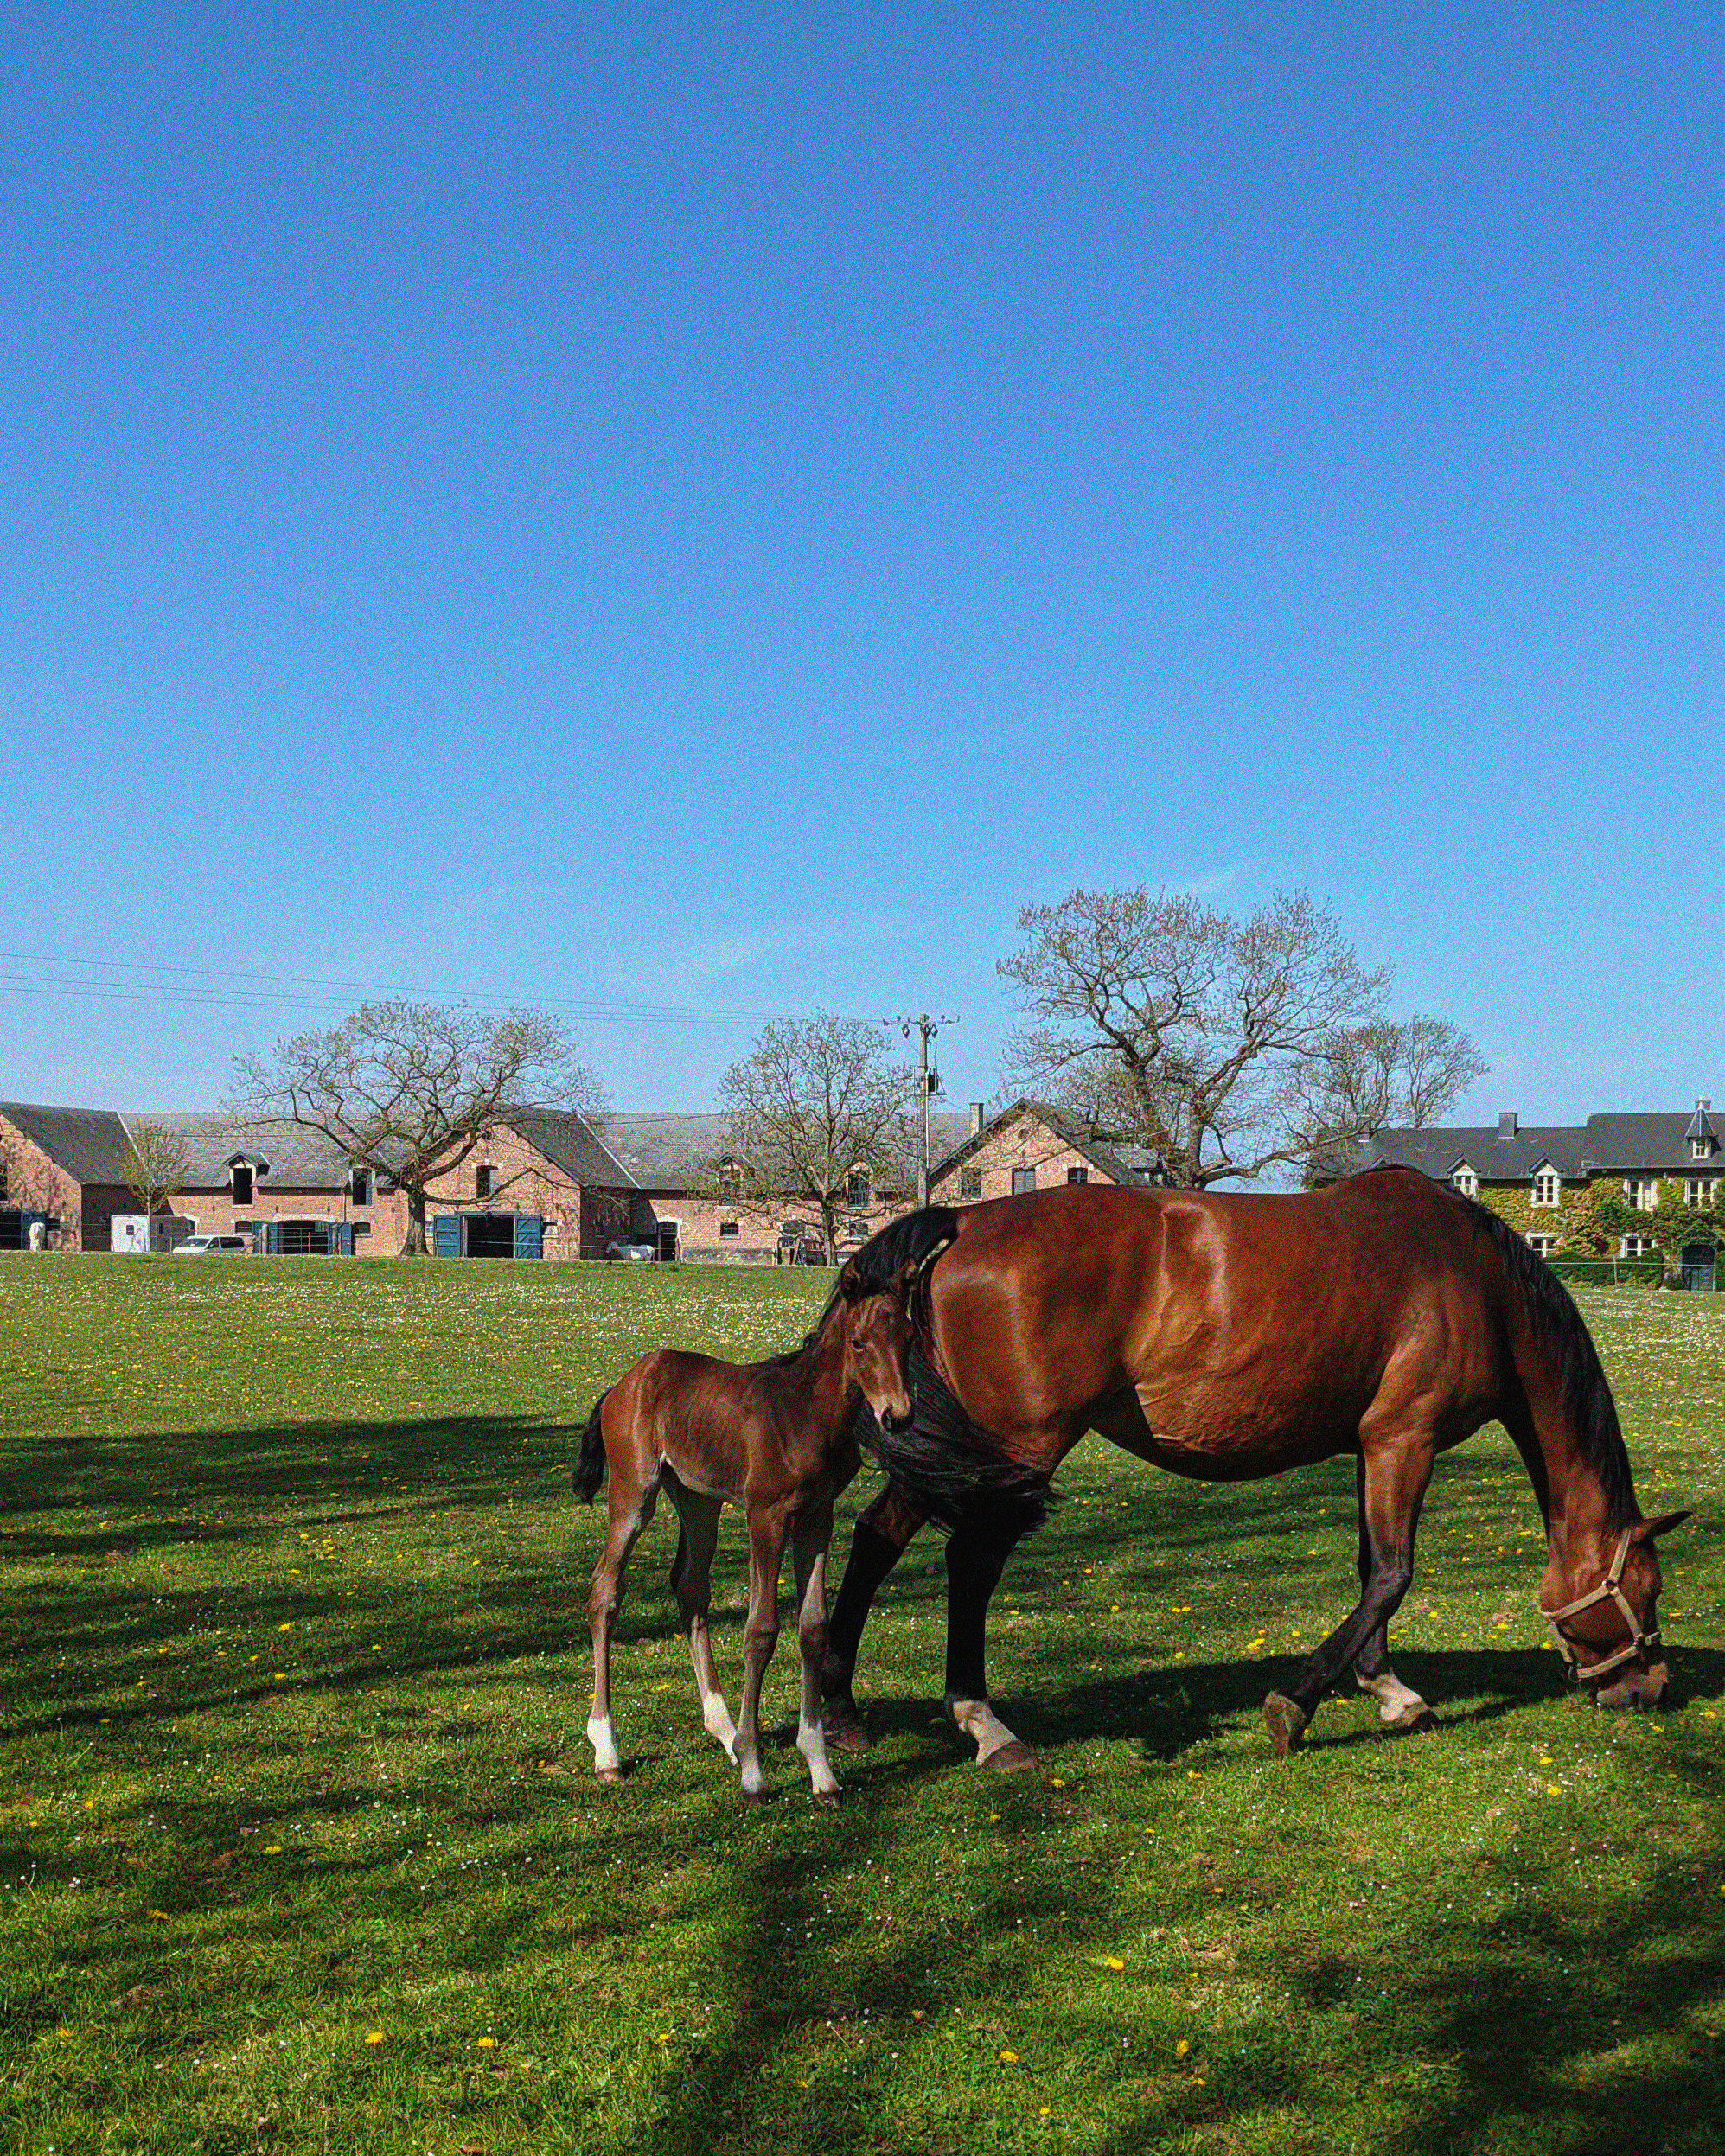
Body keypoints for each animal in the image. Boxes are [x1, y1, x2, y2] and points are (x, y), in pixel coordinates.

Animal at [572, 1241, 978, 1801]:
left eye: (910, 1338)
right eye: (858, 1342)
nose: (897, 1416)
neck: (806, 1413)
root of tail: (624, 1383)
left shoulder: (816, 1515)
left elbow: (812, 1627)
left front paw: (820, 1769)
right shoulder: (766, 1514)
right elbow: (761, 1629)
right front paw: (753, 1768)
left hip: (699, 1500)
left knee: (690, 1585)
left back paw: (722, 1730)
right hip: (635, 1492)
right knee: (605, 1592)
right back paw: (608, 1748)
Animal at [826, 1172, 1689, 1768]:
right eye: (1646, 1591)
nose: (1648, 1689)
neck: (1476, 1280)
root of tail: (966, 1218)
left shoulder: (1369, 1446)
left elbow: (1370, 1570)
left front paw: (1387, 1690)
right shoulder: (1402, 1439)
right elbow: (1392, 1576)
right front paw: (1298, 1705)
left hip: (953, 1455)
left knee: (874, 1536)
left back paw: (839, 1712)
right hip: (1015, 1452)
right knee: (969, 1565)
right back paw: (985, 1725)